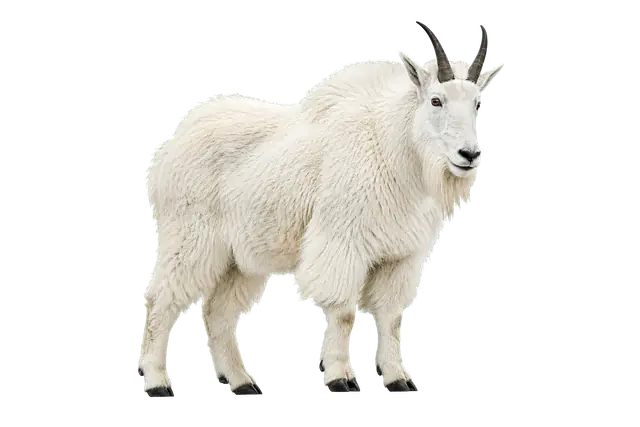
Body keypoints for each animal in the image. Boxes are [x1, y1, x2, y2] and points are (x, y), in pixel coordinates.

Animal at [138, 19, 506, 399]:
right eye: (436, 100)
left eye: (477, 104)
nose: (469, 154)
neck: (395, 148)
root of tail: (169, 149)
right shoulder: (343, 242)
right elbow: (343, 311)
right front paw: (340, 379)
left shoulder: (400, 256)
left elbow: (391, 316)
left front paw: (398, 380)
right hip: (191, 239)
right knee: (161, 300)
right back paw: (157, 383)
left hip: (241, 259)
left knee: (218, 311)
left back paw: (242, 383)